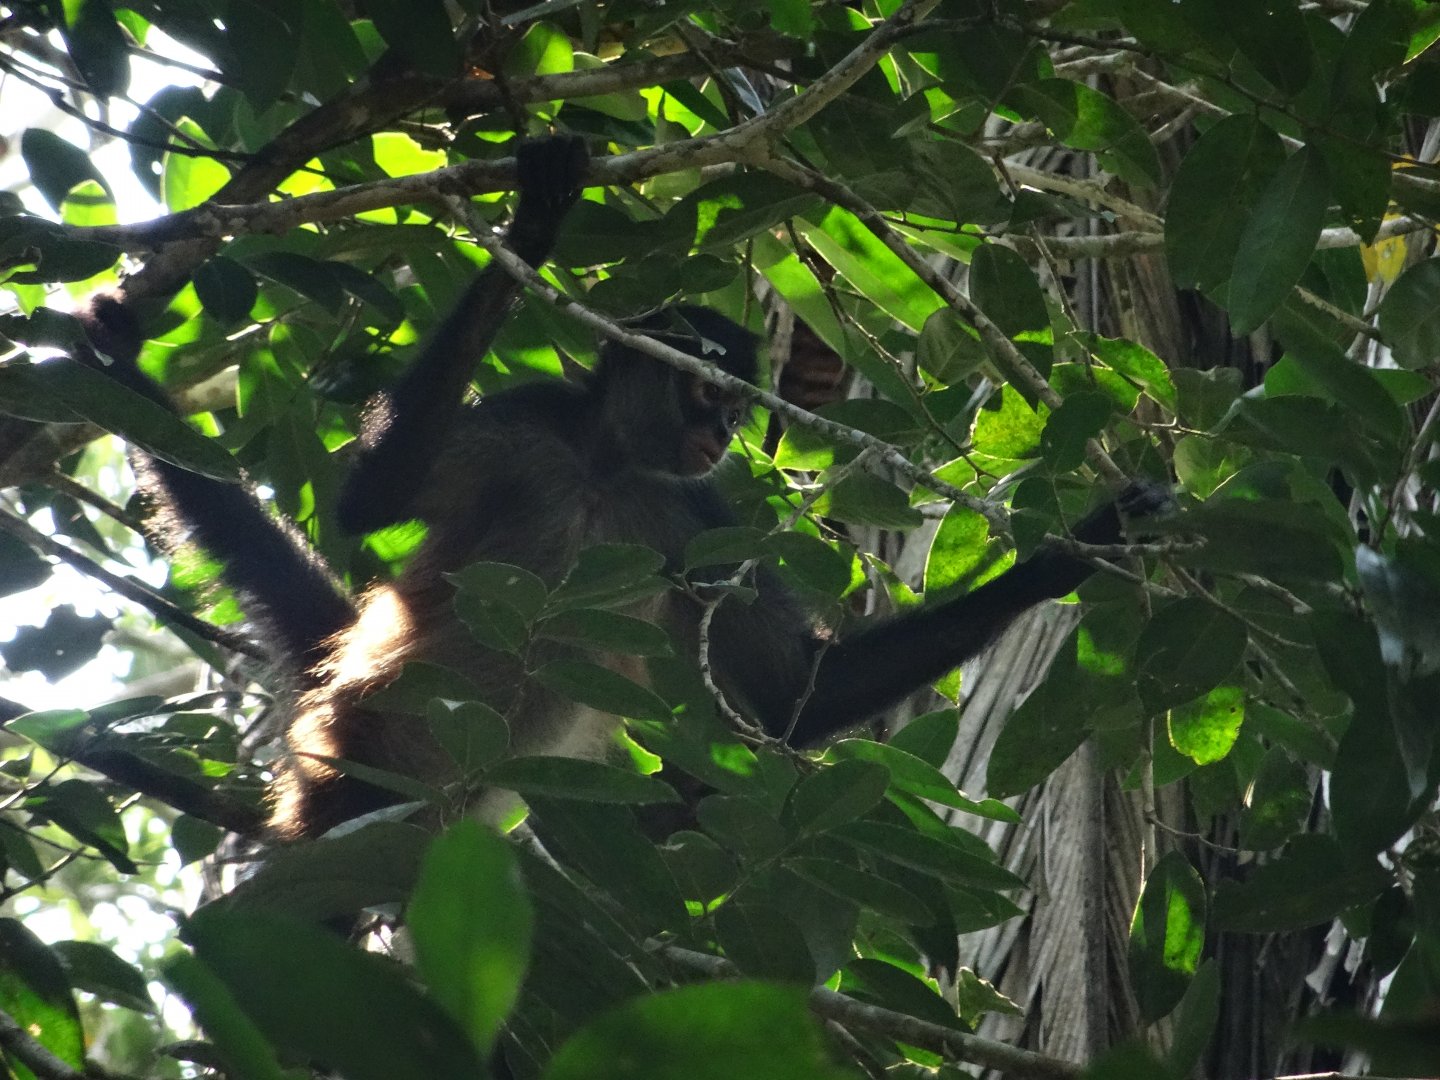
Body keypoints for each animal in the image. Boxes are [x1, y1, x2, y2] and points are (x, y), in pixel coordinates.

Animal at [74, 135, 1165, 841]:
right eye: (707, 392)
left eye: (737, 411)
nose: (721, 435)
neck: (603, 473)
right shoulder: (530, 419)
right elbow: (366, 508)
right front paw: (536, 222)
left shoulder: (696, 515)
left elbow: (787, 700)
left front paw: (1081, 549)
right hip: (352, 758)